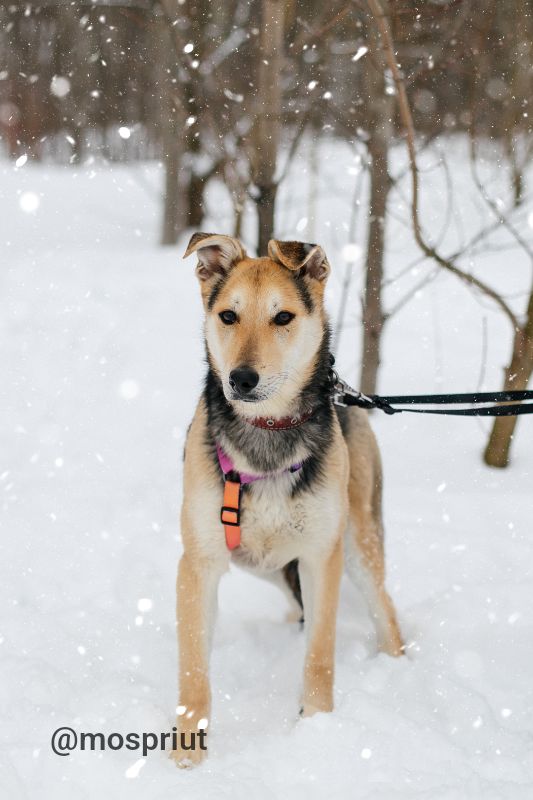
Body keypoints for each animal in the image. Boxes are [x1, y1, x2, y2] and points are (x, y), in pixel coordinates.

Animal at [172, 233, 402, 768]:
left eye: (282, 317)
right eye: (228, 316)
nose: (241, 379)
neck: (267, 434)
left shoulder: (322, 557)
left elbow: (319, 656)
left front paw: (316, 731)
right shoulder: (199, 564)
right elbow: (194, 671)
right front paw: (187, 756)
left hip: (358, 546)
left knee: (388, 617)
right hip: (264, 562)